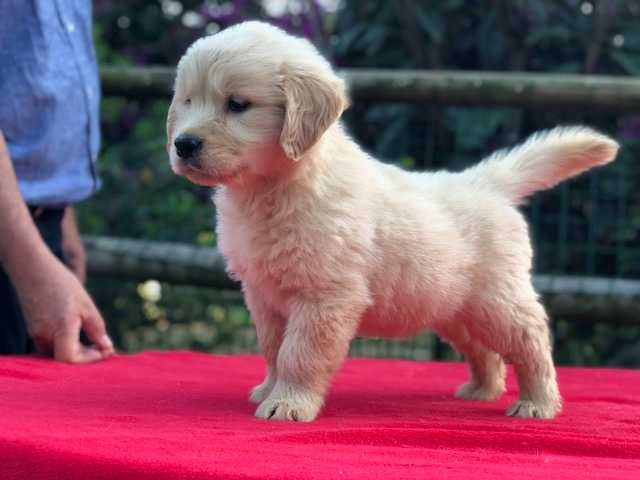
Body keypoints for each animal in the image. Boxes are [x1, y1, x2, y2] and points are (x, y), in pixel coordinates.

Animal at [168, 21, 616, 420]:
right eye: (188, 101)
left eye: (237, 105)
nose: (183, 144)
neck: (270, 189)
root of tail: (484, 182)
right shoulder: (262, 295)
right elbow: (272, 348)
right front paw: (268, 388)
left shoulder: (324, 297)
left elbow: (299, 354)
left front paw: (289, 403)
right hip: (454, 307)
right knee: (483, 349)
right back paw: (482, 389)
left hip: (497, 300)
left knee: (531, 339)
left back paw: (538, 402)